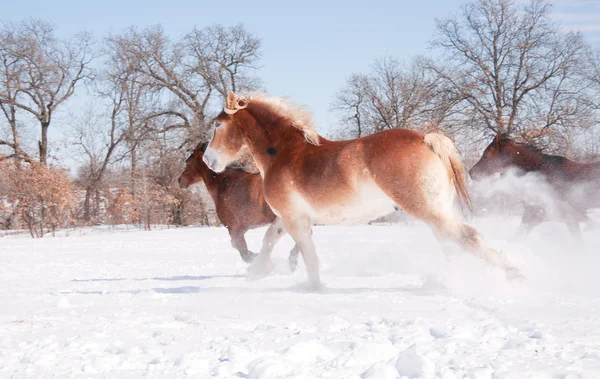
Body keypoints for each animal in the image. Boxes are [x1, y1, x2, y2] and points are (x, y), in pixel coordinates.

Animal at [178, 142, 300, 270]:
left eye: (188, 161)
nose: (180, 180)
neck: (224, 183)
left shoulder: (234, 229)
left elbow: (243, 253)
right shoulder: (241, 229)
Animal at [202, 93, 520, 288]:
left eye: (217, 124)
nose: (208, 160)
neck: (284, 154)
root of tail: (428, 139)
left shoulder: (295, 220)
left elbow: (308, 256)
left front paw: (313, 287)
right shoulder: (289, 218)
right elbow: (270, 240)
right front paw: (256, 272)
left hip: (428, 210)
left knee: (468, 237)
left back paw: (514, 274)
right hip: (437, 211)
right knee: (453, 243)